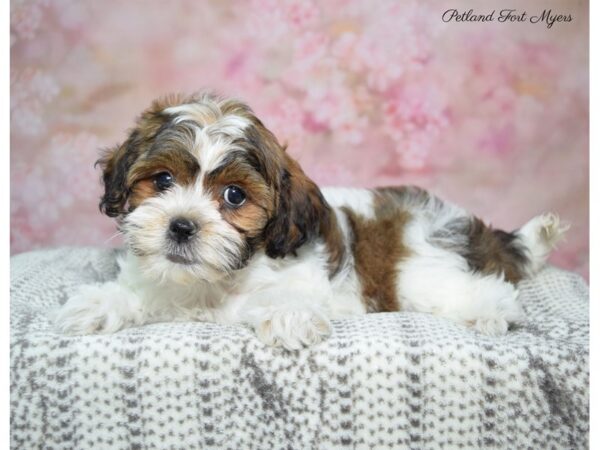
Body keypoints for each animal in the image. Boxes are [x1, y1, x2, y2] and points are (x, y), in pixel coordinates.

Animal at [52, 93, 568, 350]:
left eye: (234, 196)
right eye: (161, 180)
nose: (181, 225)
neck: (216, 282)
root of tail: (469, 226)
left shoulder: (302, 274)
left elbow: (289, 295)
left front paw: (287, 317)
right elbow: (142, 292)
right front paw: (101, 303)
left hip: (421, 274)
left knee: (486, 290)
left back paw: (488, 311)